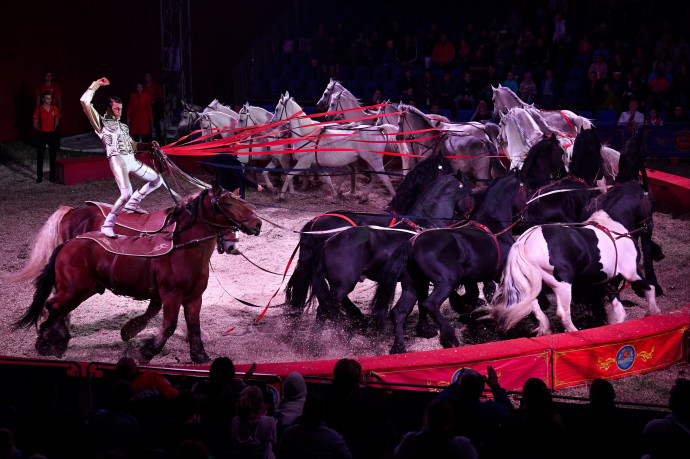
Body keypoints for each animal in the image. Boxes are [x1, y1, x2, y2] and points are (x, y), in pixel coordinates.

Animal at [13, 185, 260, 364]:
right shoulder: (171, 295)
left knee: (56, 307)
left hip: (81, 289)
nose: (257, 224)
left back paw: (55, 338)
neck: (183, 248)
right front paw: (146, 351)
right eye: (227, 203)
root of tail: (69, 243)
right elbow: (169, 325)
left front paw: (199, 355)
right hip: (75, 289)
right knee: (53, 306)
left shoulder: (193, 298)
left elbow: (194, 326)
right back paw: (48, 342)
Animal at [268, 92, 398, 202]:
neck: (307, 134)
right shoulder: (318, 165)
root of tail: (378, 128)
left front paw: (281, 195)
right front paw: (335, 195)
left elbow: (289, 175)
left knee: (384, 178)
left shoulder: (303, 163)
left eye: (277, 109)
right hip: (370, 160)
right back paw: (363, 196)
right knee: (375, 176)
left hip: (374, 160)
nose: (271, 123)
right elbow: (327, 179)